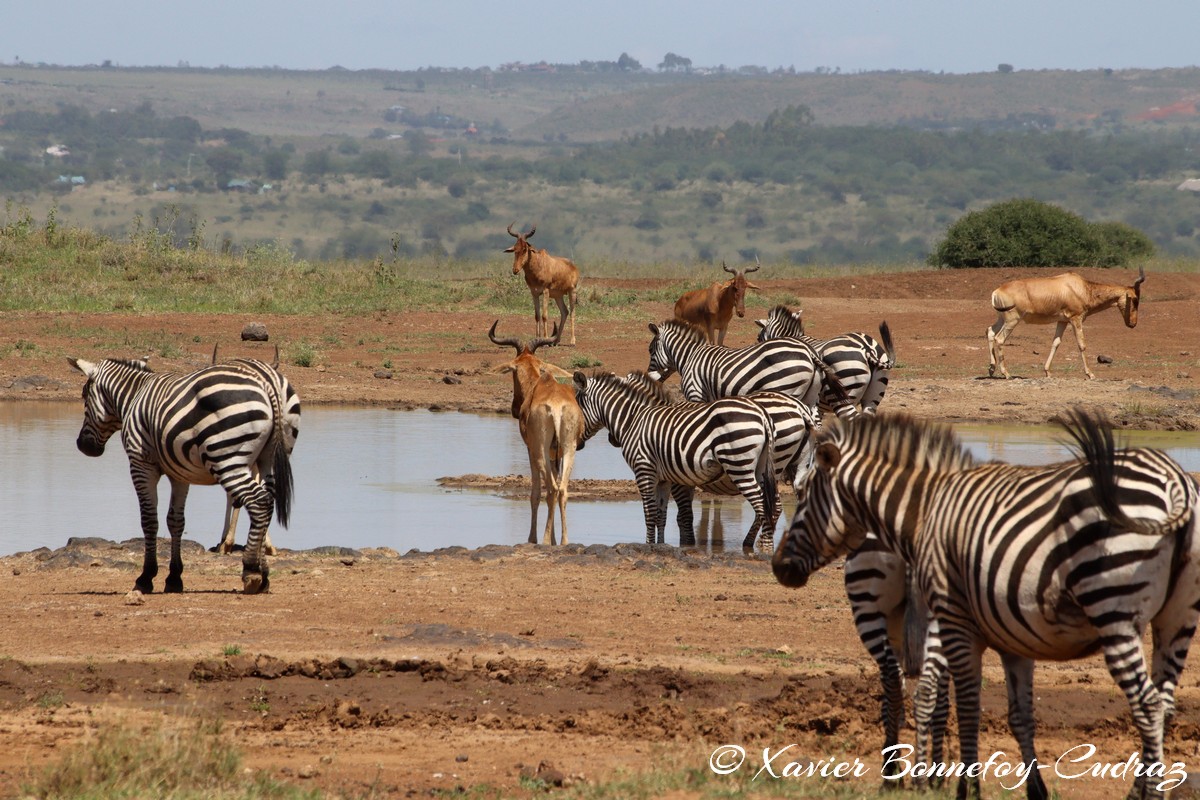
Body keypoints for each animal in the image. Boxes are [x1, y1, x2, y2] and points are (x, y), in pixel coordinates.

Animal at [69, 356, 301, 595]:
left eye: (84, 395)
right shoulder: (179, 473)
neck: (135, 396)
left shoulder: (141, 464)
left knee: (259, 502)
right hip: (269, 458)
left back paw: (251, 571)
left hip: (228, 457)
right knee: (268, 503)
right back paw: (264, 575)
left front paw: (146, 577)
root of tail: (267, 379)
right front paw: (174, 578)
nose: (83, 446)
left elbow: (149, 520)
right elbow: (176, 521)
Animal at [572, 370, 778, 550]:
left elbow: (649, 513)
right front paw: (660, 546)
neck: (634, 419)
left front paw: (647, 546)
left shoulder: (644, 470)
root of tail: (762, 414)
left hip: (738, 465)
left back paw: (765, 549)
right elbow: (660, 515)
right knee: (771, 505)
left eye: (578, 407)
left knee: (762, 506)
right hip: (760, 468)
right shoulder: (663, 479)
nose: (577, 444)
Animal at [645, 319, 853, 417]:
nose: (650, 377)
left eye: (650, 350)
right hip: (810, 396)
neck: (690, 355)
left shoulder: (695, 393)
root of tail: (809, 352)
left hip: (787, 390)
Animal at [773, 409, 1199, 800]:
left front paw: (964, 788)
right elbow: (1020, 716)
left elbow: (966, 706)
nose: (779, 567)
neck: (926, 509)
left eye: (804, 495)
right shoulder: (1015, 637)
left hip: (1113, 609)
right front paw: (1035, 790)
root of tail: (1175, 481)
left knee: (1147, 704)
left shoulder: (954, 618)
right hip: (1177, 621)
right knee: (1163, 703)